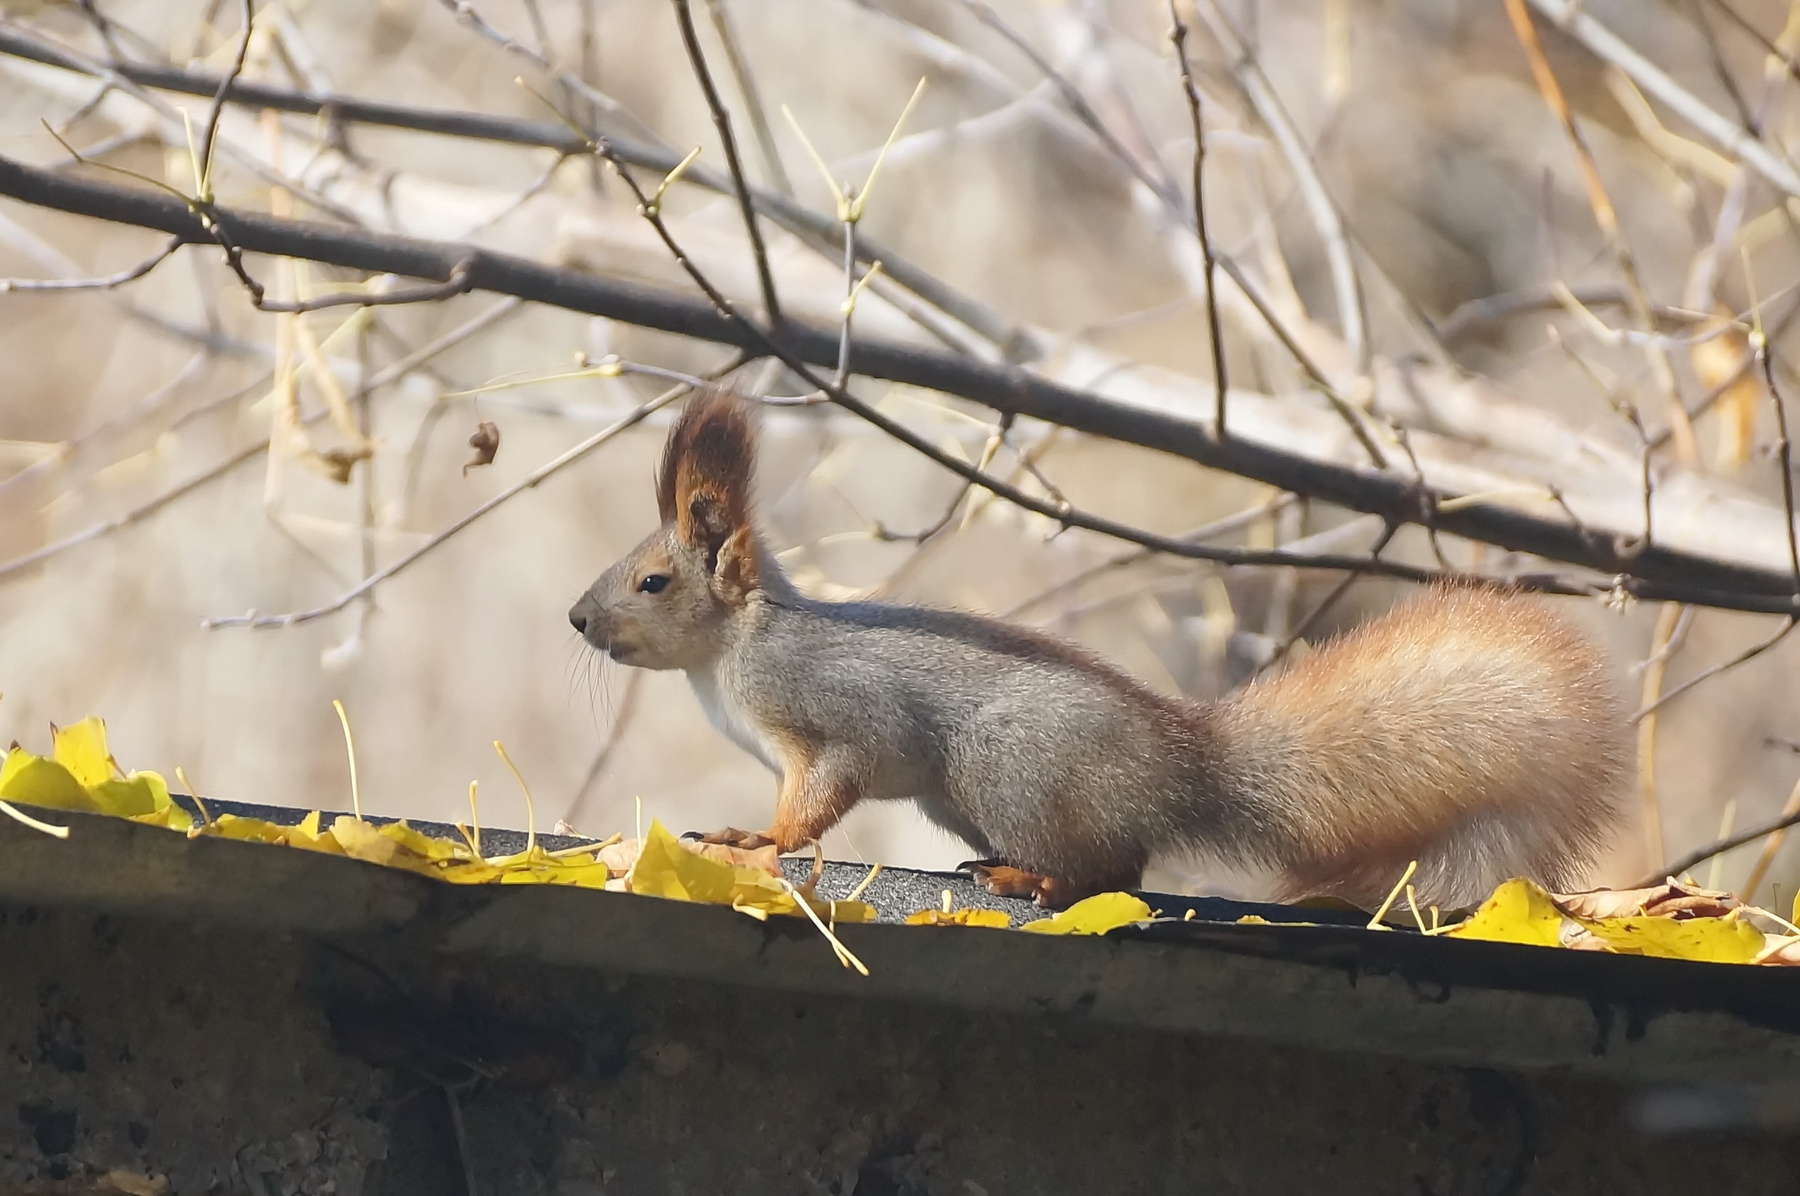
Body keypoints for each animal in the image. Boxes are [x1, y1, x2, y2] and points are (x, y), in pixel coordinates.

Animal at [568, 387, 1628, 910]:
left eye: (652, 582)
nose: (577, 621)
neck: (728, 655)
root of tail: (1186, 770)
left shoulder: (827, 715)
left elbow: (822, 793)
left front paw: (759, 840)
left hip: (1007, 769)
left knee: (1107, 873)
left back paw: (1027, 878)